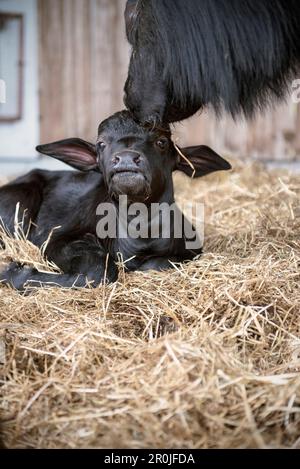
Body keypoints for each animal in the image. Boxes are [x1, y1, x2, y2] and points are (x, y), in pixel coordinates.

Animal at [0, 111, 231, 290]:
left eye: (161, 142)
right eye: (101, 143)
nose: (126, 158)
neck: (142, 235)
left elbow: (158, 264)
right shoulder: (57, 239)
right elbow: (98, 271)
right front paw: (14, 273)